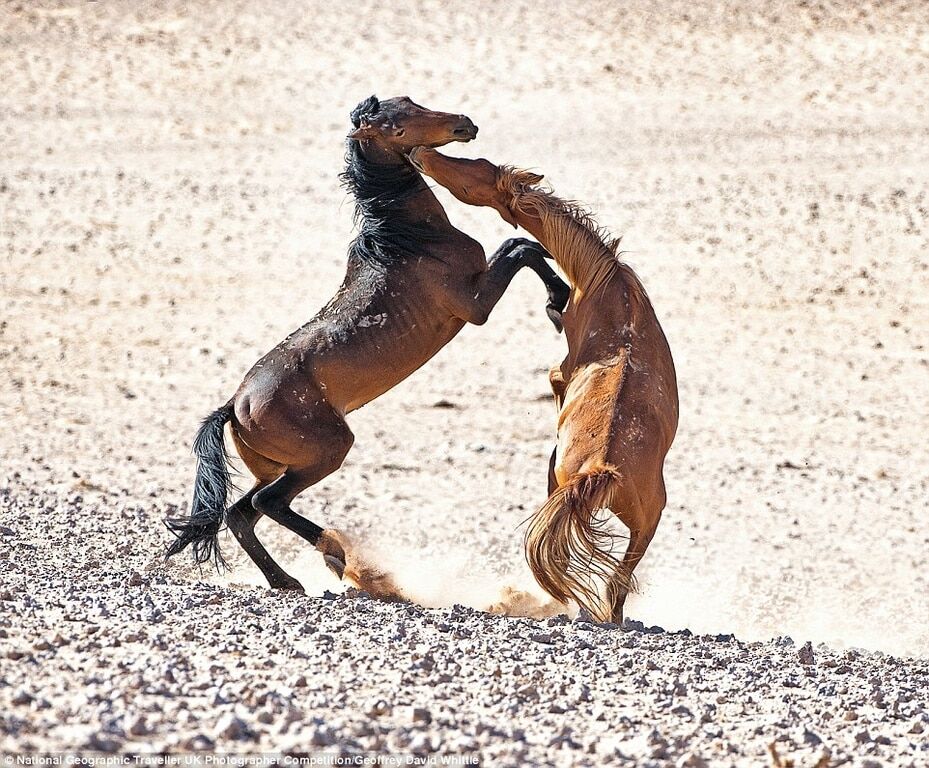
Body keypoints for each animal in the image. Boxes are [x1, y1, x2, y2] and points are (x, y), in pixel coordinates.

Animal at [167, 96, 572, 588]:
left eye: (412, 101)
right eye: (397, 128)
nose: (465, 124)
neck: (407, 239)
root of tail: (235, 406)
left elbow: (524, 247)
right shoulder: (475, 305)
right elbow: (521, 249)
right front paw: (558, 302)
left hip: (280, 468)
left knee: (240, 513)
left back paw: (289, 581)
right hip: (326, 453)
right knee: (266, 504)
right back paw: (338, 555)